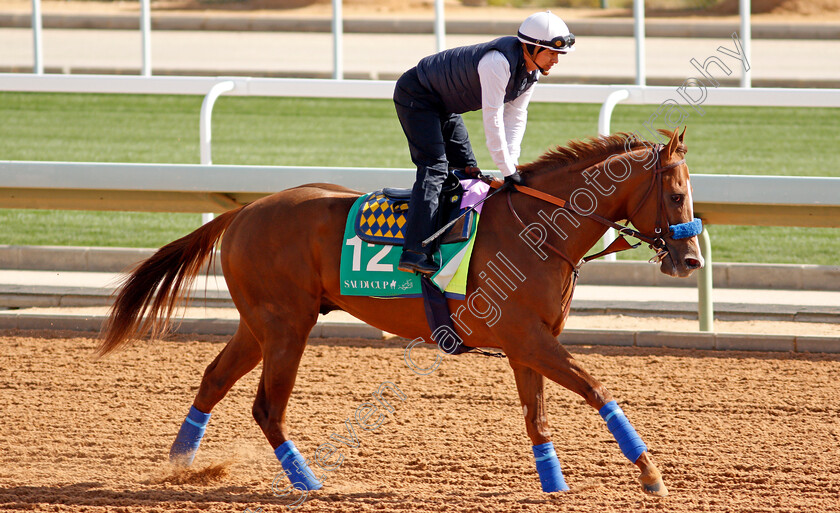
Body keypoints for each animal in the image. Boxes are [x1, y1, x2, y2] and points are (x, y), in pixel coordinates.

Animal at [97, 127, 704, 496]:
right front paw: (651, 474)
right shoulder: (528, 338)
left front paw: (554, 485)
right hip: (286, 325)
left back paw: (181, 464)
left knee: (214, 379)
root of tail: (245, 210)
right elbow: (596, 387)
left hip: (259, 324)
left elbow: (537, 416)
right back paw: (307, 482)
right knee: (267, 407)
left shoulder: (527, 343)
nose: (691, 259)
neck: (539, 232)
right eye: (676, 196)